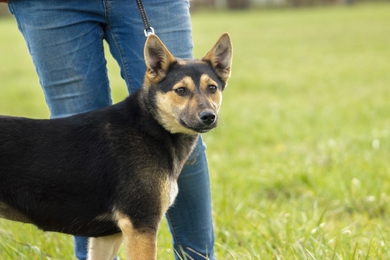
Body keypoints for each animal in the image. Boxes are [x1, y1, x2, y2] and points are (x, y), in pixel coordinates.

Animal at [0, 33, 232, 258]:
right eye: (181, 90)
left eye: (212, 88)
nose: (208, 117)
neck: (149, 127)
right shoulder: (140, 224)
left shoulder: (108, 235)